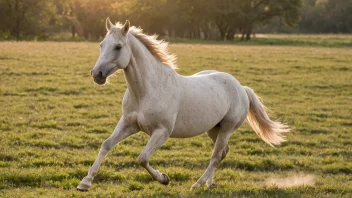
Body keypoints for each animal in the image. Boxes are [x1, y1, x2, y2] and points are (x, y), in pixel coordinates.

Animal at [76, 18, 288, 190]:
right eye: (102, 45)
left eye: (118, 47)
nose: (97, 74)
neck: (146, 91)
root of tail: (241, 87)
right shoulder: (129, 124)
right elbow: (106, 145)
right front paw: (85, 183)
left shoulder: (161, 131)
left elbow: (142, 158)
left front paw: (164, 178)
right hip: (214, 130)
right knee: (222, 153)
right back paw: (209, 184)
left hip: (227, 129)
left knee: (215, 156)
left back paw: (198, 184)